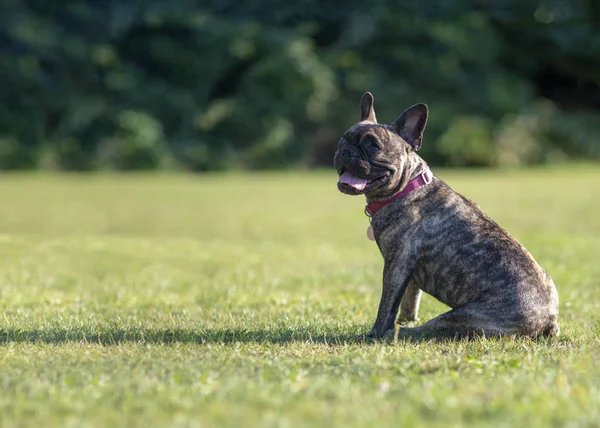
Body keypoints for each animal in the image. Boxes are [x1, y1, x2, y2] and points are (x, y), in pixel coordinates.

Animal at [336, 92, 560, 340]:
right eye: (343, 139)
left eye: (374, 146)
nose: (346, 150)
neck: (407, 188)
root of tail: (548, 319)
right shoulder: (408, 272)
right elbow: (409, 299)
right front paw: (406, 318)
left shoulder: (396, 265)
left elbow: (387, 305)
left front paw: (375, 332)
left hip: (458, 317)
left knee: (425, 330)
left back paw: (396, 332)